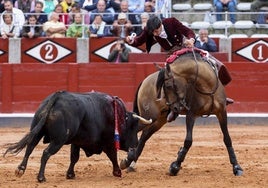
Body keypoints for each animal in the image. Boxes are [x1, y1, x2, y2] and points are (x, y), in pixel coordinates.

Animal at [4, 91, 152, 182]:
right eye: (134, 128)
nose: (135, 145)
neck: (119, 117)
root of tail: (57, 97)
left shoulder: (76, 141)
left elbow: (74, 157)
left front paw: (70, 174)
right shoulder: (108, 142)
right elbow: (112, 156)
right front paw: (117, 172)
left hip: (37, 129)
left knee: (30, 146)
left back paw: (20, 169)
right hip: (58, 140)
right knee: (45, 153)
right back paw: (41, 177)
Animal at [120, 48, 244, 176]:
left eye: (168, 85)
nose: (175, 108)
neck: (208, 87)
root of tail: (145, 80)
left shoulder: (221, 112)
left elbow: (227, 138)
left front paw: (236, 167)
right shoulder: (191, 114)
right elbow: (188, 140)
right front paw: (175, 166)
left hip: (160, 119)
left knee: (144, 135)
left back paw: (130, 163)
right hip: (149, 116)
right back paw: (127, 159)